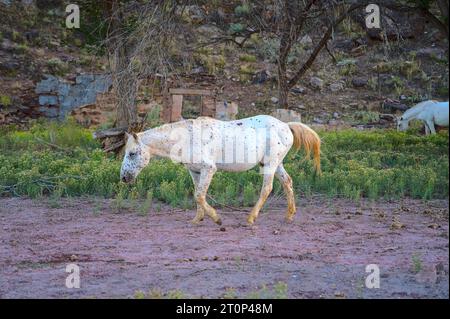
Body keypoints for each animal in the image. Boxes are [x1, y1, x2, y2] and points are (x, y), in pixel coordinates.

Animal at [119, 115, 320, 225]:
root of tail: (286, 126)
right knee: (287, 182)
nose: (124, 178)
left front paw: (217, 219)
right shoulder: (195, 172)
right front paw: (197, 219)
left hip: (270, 165)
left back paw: (251, 218)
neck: (187, 137)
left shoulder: (209, 169)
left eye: (132, 153)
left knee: (267, 189)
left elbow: (199, 195)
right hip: (275, 164)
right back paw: (289, 215)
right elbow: (198, 194)